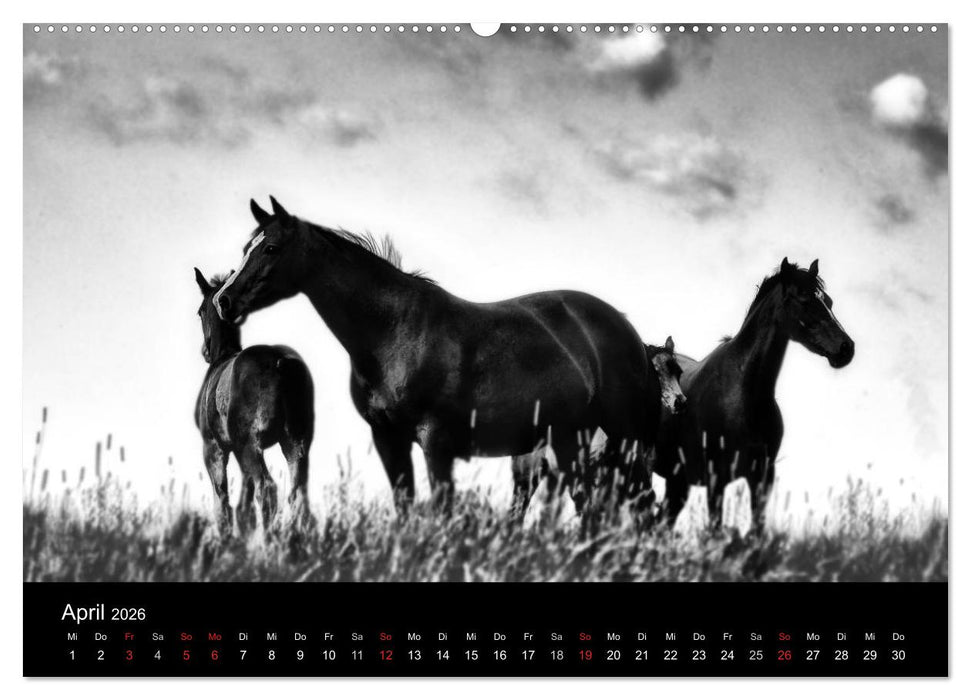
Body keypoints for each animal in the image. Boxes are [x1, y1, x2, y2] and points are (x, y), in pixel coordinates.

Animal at [194, 267, 315, 534]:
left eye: (200, 311)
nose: (204, 351)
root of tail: (280, 362)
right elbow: (244, 507)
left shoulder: (213, 448)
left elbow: (223, 503)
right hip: (295, 444)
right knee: (297, 497)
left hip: (249, 446)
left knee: (267, 490)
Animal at [213, 197, 658, 513]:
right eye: (246, 246)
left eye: (271, 247)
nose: (224, 300)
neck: (394, 333)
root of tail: (625, 329)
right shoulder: (389, 439)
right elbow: (406, 509)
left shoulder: (435, 441)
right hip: (569, 440)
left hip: (624, 438)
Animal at [654, 258, 855, 526]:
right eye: (803, 299)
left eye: (829, 301)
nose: (846, 348)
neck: (742, 394)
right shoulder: (716, 479)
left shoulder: (761, 477)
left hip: (677, 482)